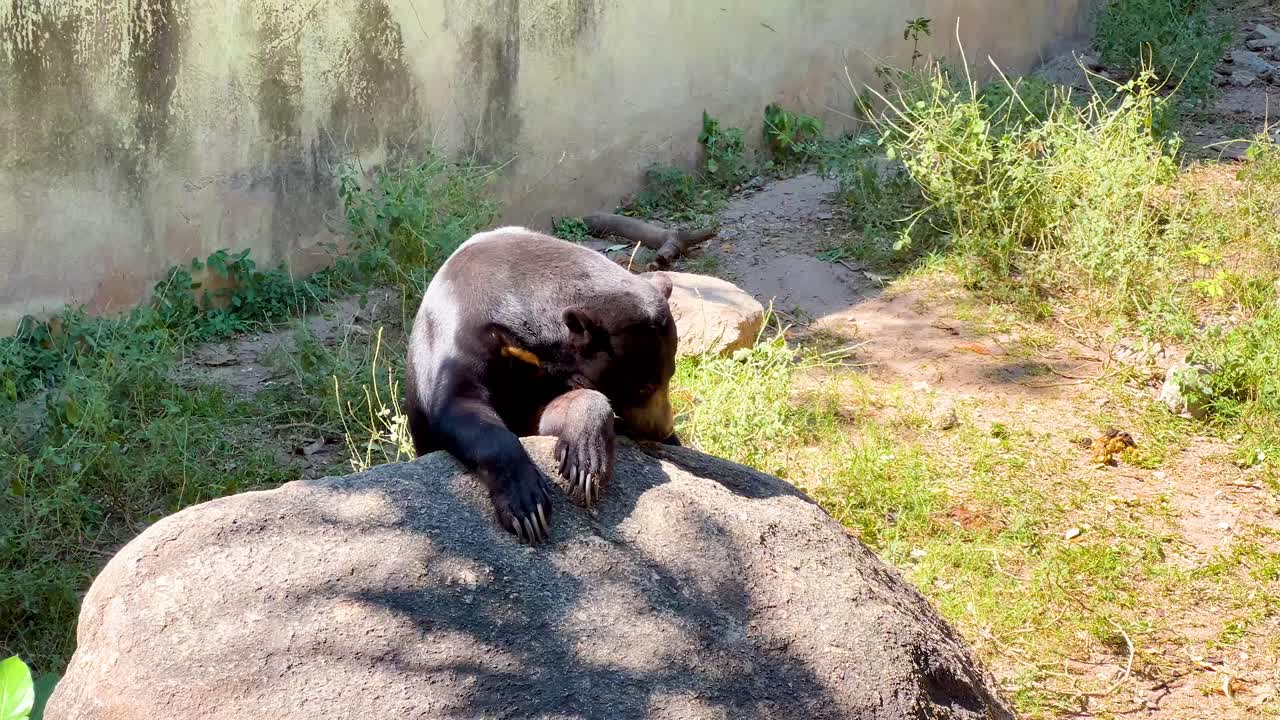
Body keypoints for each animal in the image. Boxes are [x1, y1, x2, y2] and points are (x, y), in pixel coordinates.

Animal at [405, 226, 681, 544]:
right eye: (642, 388)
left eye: (671, 375)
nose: (663, 431)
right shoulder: (458, 333)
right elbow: (457, 404)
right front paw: (528, 508)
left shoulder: (546, 377)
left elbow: (553, 413)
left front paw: (584, 464)